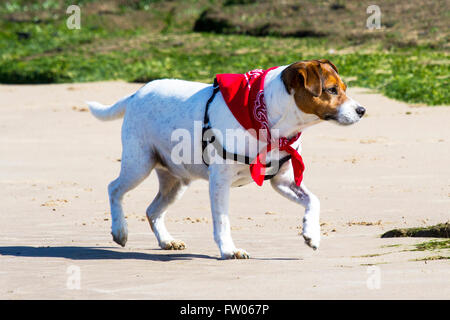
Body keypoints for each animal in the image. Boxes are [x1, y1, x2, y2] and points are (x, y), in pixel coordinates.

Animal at [88, 59, 366, 260]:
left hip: (176, 181)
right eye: (331, 90)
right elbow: (222, 220)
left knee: (152, 209)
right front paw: (229, 250)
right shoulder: (220, 182)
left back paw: (167, 241)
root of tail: (137, 93)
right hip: (139, 164)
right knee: (114, 189)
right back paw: (120, 230)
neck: (269, 120)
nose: (362, 110)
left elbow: (313, 201)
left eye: (344, 89)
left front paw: (311, 234)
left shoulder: (283, 181)